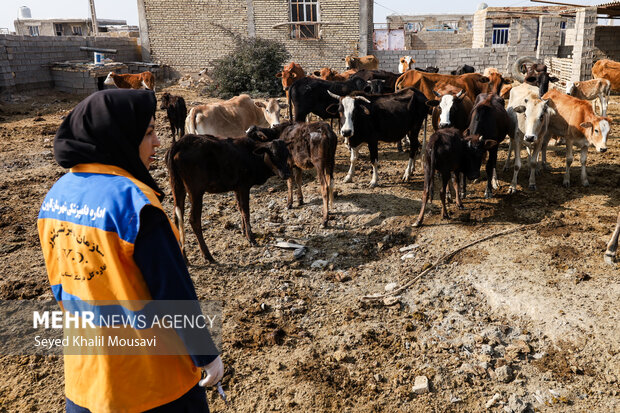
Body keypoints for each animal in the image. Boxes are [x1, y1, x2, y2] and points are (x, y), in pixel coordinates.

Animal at [165, 136, 290, 264]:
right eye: (274, 155)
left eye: (287, 154)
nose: (287, 174)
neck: (252, 155)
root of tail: (181, 142)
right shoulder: (243, 186)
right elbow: (246, 211)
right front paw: (251, 238)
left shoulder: (236, 188)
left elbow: (240, 208)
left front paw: (244, 231)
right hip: (196, 190)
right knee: (194, 220)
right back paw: (208, 255)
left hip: (177, 186)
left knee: (177, 218)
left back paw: (184, 257)